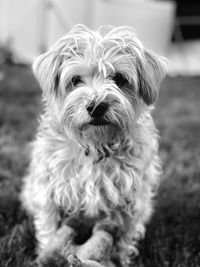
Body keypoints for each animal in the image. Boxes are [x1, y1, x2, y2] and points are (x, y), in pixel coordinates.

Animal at [20, 24, 167, 266]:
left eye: (120, 79)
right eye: (75, 80)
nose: (96, 106)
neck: (95, 143)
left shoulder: (130, 201)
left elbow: (122, 239)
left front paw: (118, 258)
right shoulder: (49, 191)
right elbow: (50, 228)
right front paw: (49, 254)